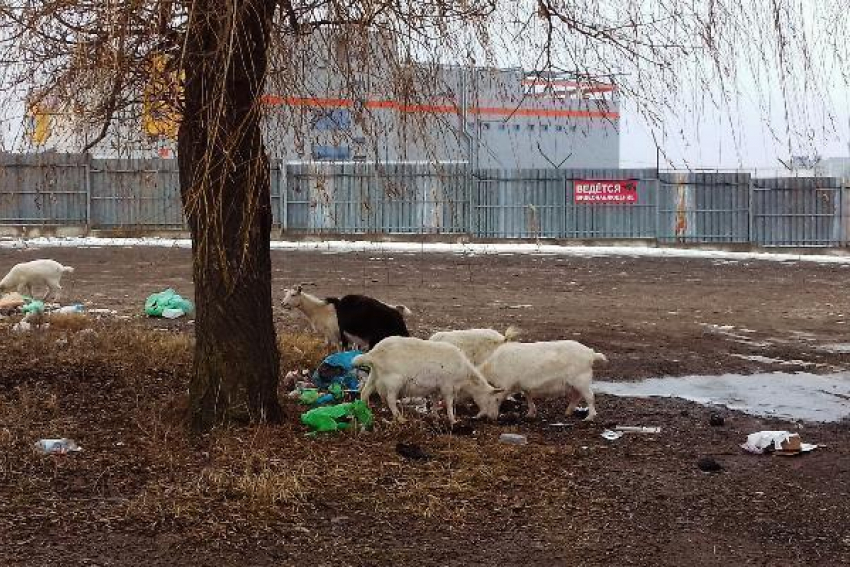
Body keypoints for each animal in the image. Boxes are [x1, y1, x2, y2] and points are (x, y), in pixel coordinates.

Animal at [352, 336, 500, 424]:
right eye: (494, 400)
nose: (494, 418)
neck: (465, 375)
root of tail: (373, 354)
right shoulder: (447, 386)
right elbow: (449, 403)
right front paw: (453, 420)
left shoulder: (436, 387)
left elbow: (434, 401)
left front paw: (435, 416)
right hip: (394, 381)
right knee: (390, 400)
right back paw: (400, 418)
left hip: (374, 375)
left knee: (365, 392)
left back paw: (365, 409)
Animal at [476, 342, 604, 422]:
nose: (490, 418)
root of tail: (591, 354)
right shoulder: (524, 385)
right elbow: (528, 397)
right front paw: (530, 414)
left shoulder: (505, 385)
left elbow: (497, 398)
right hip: (574, 383)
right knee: (577, 395)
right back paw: (568, 412)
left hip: (581, 380)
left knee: (589, 396)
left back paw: (589, 417)